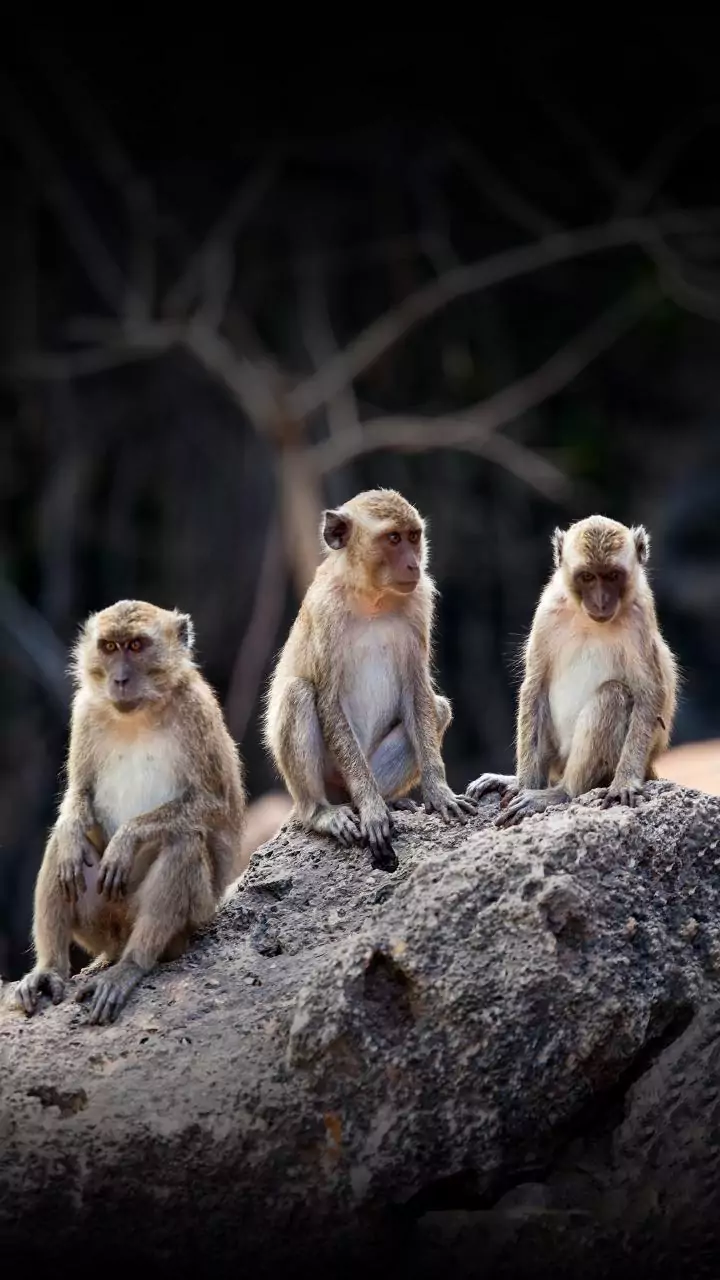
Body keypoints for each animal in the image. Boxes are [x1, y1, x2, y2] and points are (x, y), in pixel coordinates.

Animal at [11, 600, 246, 1025]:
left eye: (136, 646)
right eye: (109, 647)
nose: (119, 679)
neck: (139, 714)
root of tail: (117, 942)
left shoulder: (197, 711)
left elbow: (215, 804)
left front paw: (127, 838)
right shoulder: (84, 711)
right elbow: (79, 796)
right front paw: (74, 830)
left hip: (187, 921)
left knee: (184, 841)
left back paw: (132, 965)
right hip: (98, 922)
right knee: (64, 846)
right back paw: (49, 969)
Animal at [264, 489, 476, 871]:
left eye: (413, 536)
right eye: (392, 539)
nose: (413, 564)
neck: (371, 597)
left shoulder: (419, 602)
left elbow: (418, 691)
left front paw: (438, 790)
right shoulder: (325, 610)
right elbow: (327, 699)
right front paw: (373, 809)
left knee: (437, 709)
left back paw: (389, 799)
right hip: (325, 778)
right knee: (298, 693)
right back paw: (323, 812)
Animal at [466, 515, 678, 826]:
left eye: (612, 576)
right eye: (587, 577)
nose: (600, 601)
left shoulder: (639, 615)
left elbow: (650, 693)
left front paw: (625, 782)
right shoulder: (547, 610)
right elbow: (535, 686)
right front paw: (523, 785)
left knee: (613, 694)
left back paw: (564, 792)